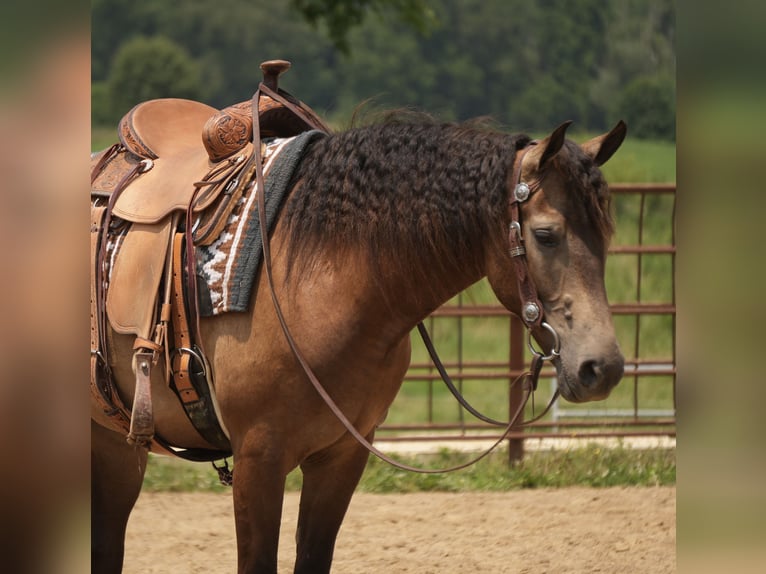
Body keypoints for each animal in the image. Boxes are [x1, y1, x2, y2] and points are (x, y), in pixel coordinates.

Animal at [91, 114, 627, 573]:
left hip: (117, 444)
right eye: (546, 235)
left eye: (606, 234)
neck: (319, 280)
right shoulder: (257, 461)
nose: (603, 368)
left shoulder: (344, 455)